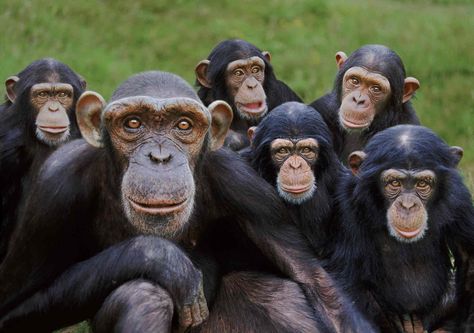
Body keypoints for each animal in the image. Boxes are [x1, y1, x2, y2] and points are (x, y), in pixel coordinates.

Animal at [330, 125, 474, 332]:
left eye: (422, 183)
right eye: (394, 183)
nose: (407, 205)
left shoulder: (460, 198)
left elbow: (470, 262)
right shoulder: (347, 201)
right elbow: (349, 281)